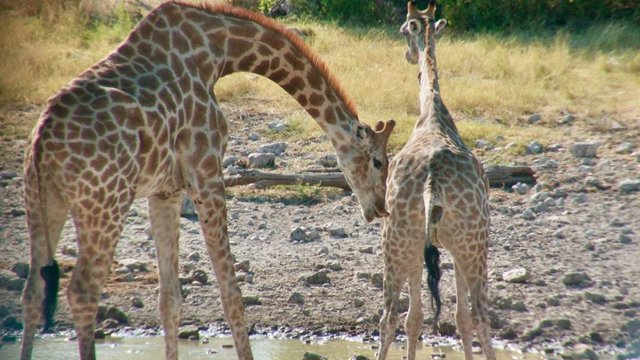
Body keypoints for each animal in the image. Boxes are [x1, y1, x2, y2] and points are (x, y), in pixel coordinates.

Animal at [20, 1, 396, 358]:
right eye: (378, 162)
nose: (379, 208)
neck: (219, 52)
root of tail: (42, 142)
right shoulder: (206, 171)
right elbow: (232, 294)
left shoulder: (166, 190)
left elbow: (170, 299)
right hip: (104, 204)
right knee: (82, 292)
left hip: (44, 201)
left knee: (33, 290)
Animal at [376, 1, 496, 358]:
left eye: (403, 29)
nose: (407, 55)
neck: (432, 114)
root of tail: (431, 184)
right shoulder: (448, 249)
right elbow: (454, 318)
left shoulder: (428, 248)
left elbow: (421, 319)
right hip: (470, 245)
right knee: (479, 315)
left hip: (401, 243)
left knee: (390, 317)